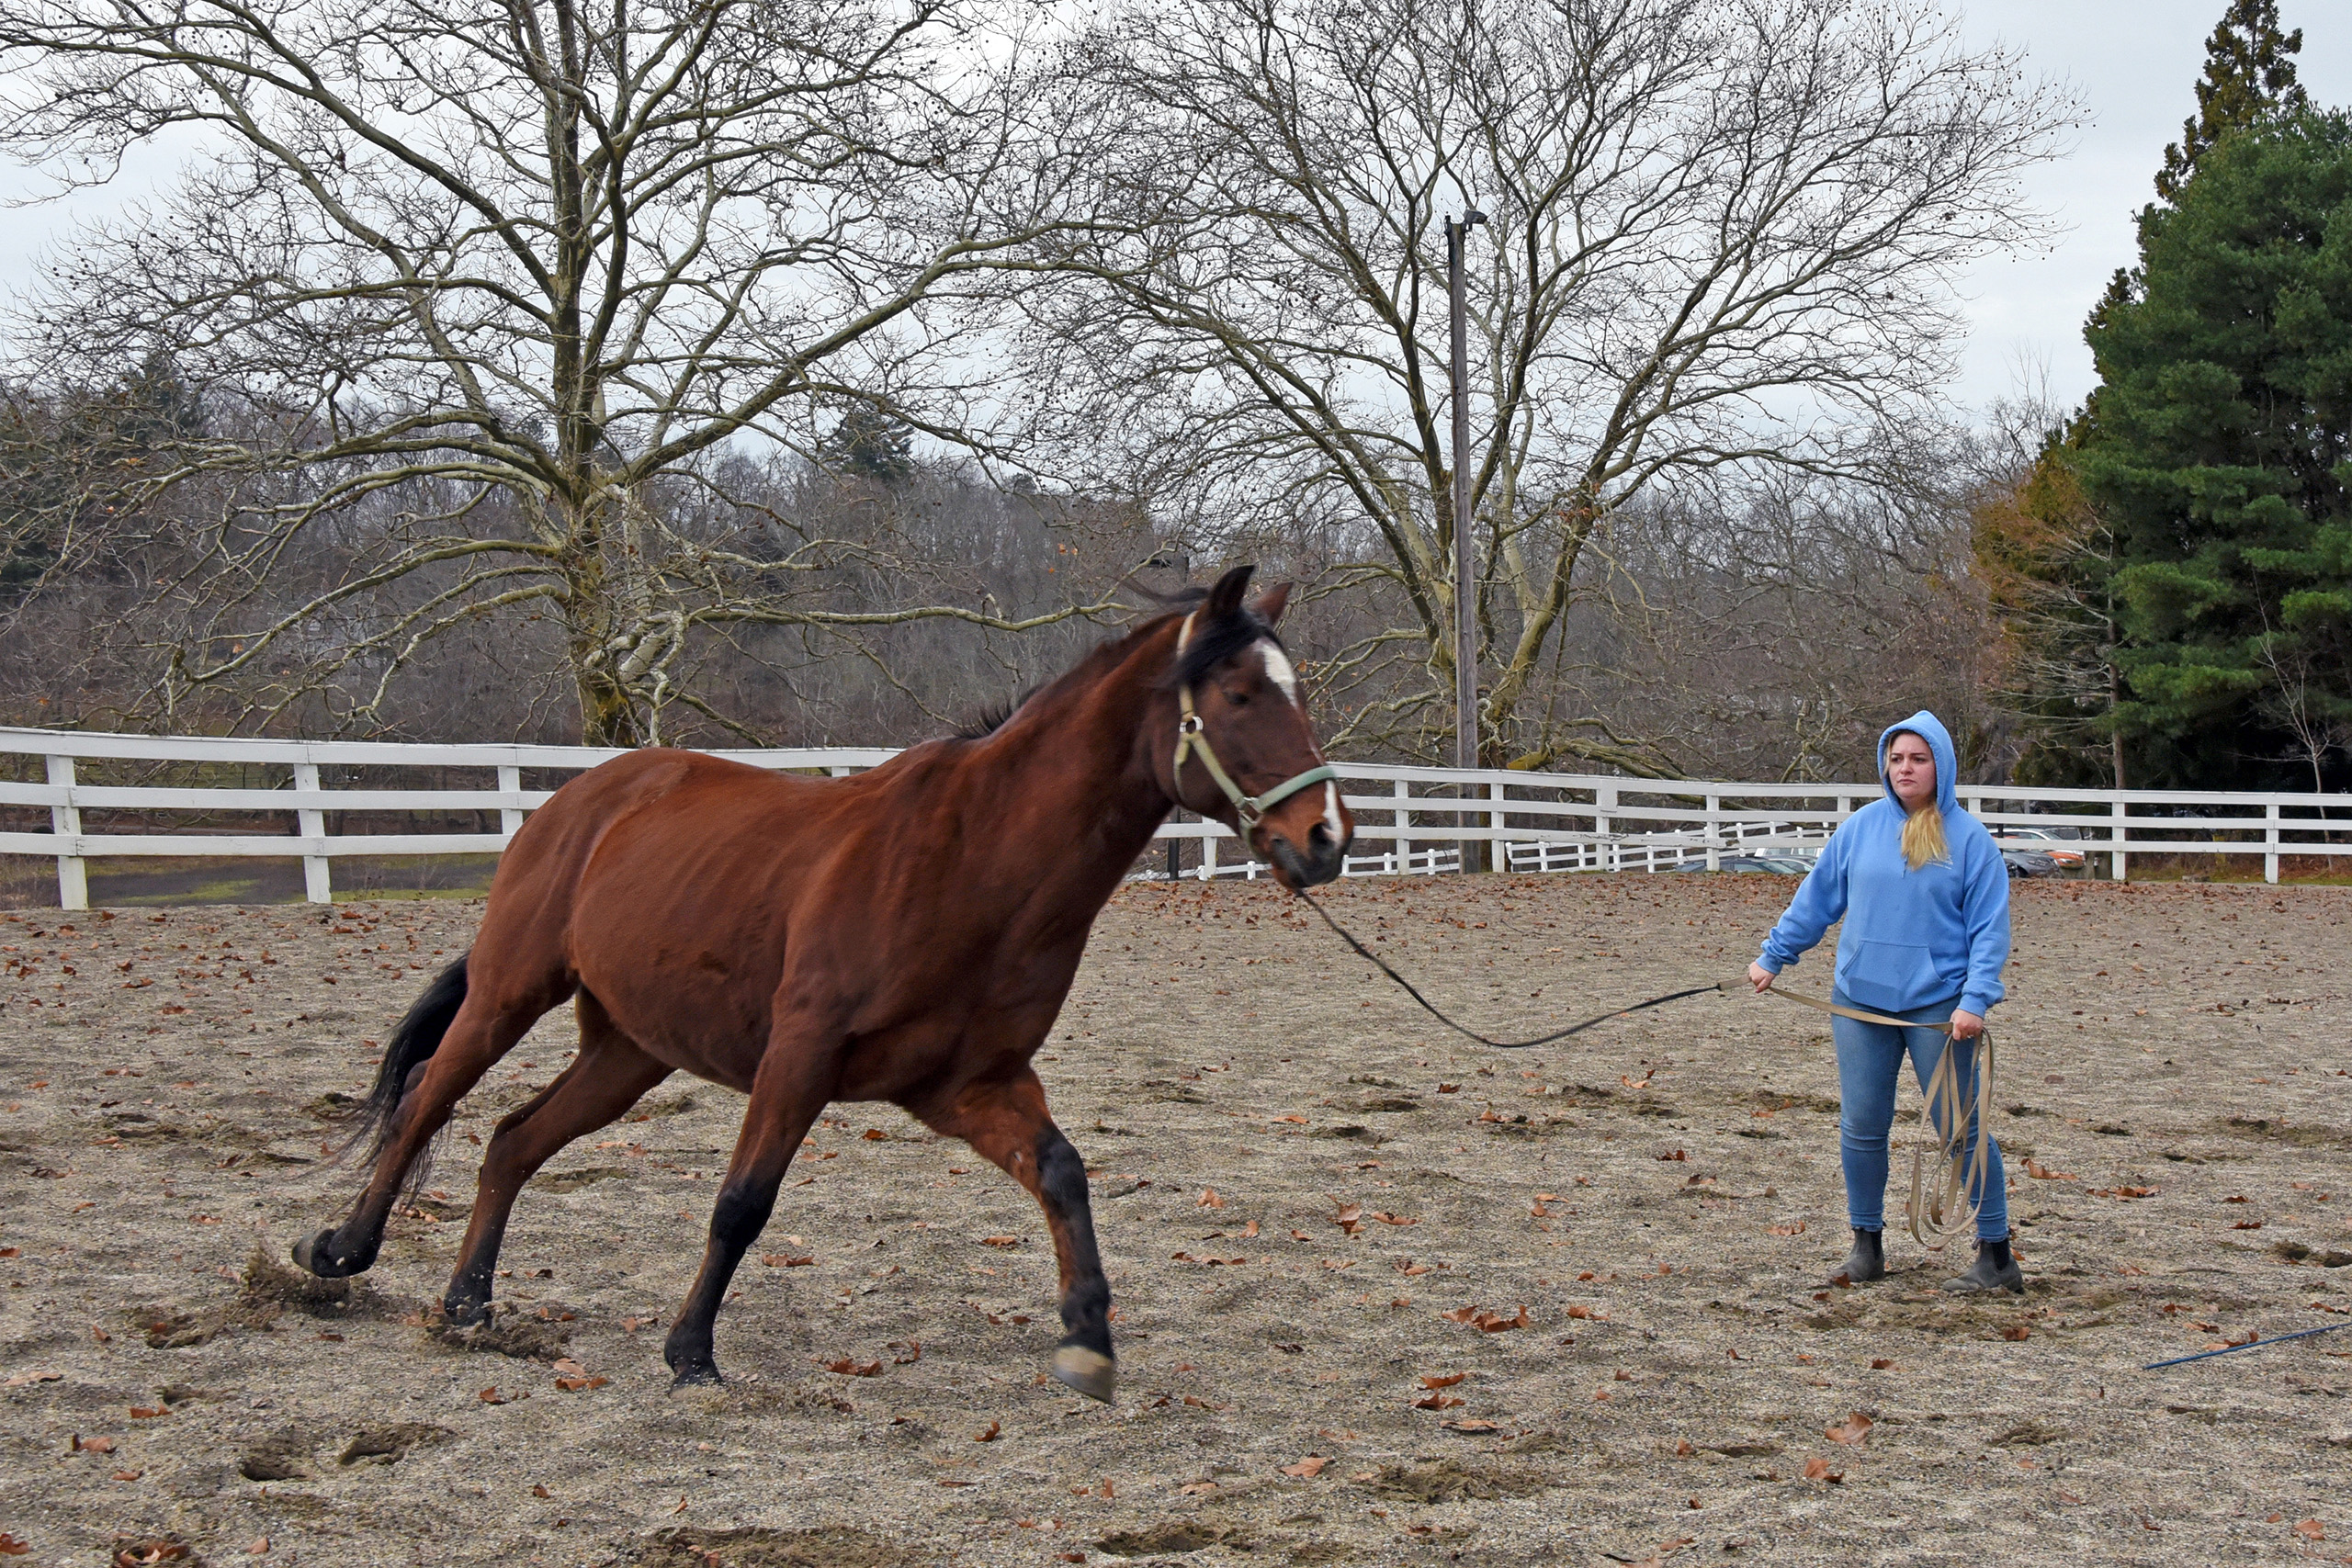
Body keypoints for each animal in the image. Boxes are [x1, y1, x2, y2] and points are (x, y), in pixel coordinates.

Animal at [294, 570, 1354, 1401]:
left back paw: (469, 1302)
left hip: (628, 1051)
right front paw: (690, 1352)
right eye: (1237, 694)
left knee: (513, 1141)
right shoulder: (800, 1057)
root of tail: (580, 797)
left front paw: (1088, 1342)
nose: (1324, 839)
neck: (973, 861)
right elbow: (742, 1202)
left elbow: (1062, 1174)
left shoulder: (969, 1085)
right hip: (510, 994)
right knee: (428, 1105)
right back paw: (340, 1252)